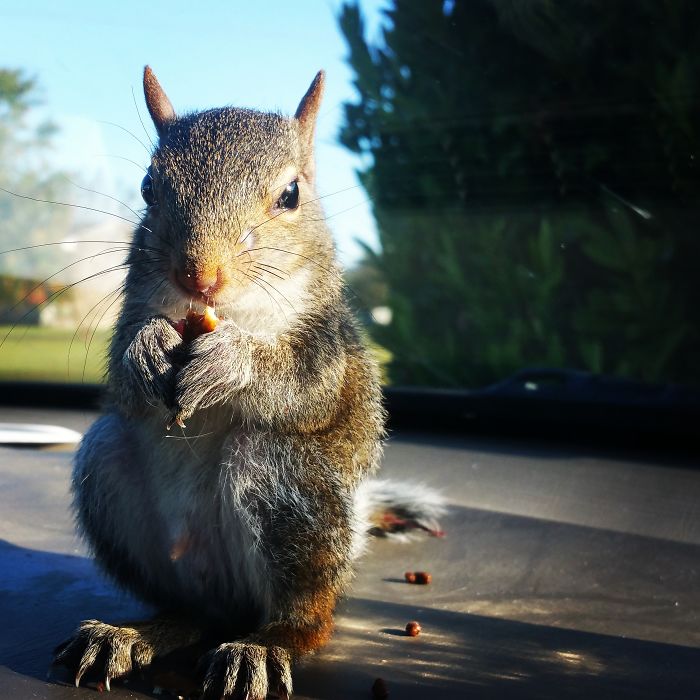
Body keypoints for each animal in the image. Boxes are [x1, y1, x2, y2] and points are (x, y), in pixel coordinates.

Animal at [52, 66, 444, 699]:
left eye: (291, 195)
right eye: (148, 187)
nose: (199, 276)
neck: (231, 311)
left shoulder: (328, 348)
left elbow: (304, 386)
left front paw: (230, 362)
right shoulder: (132, 313)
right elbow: (122, 370)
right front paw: (146, 349)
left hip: (288, 490)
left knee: (304, 621)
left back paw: (259, 648)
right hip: (108, 472)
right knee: (188, 614)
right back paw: (129, 635)